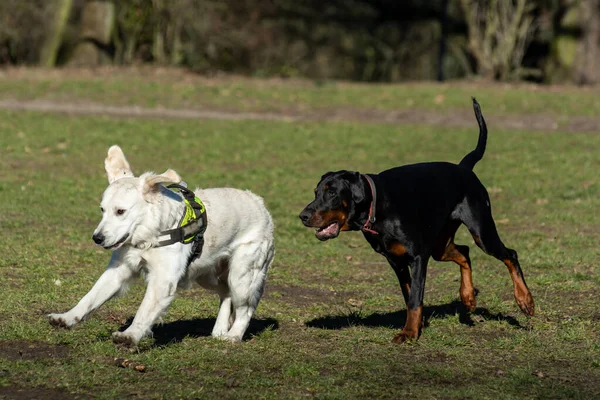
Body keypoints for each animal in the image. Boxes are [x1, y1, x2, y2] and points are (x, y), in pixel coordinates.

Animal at [49, 145, 274, 346]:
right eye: (102, 209)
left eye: (120, 211)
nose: (97, 238)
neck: (150, 235)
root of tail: (259, 203)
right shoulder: (118, 270)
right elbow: (90, 297)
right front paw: (67, 317)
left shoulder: (163, 279)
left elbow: (144, 310)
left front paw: (130, 335)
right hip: (207, 274)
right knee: (225, 293)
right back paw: (219, 330)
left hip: (242, 275)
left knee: (245, 309)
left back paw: (233, 335)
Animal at [298, 98, 536, 342]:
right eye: (316, 191)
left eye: (332, 192)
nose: (303, 216)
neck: (376, 205)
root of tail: (463, 169)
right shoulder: (397, 262)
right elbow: (409, 294)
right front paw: (417, 325)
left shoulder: (419, 257)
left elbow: (415, 299)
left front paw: (409, 332)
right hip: (440, 246)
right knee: (464, 252)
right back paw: (468, 297)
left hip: (482, 232)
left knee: (509, 254)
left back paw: (525, 300)